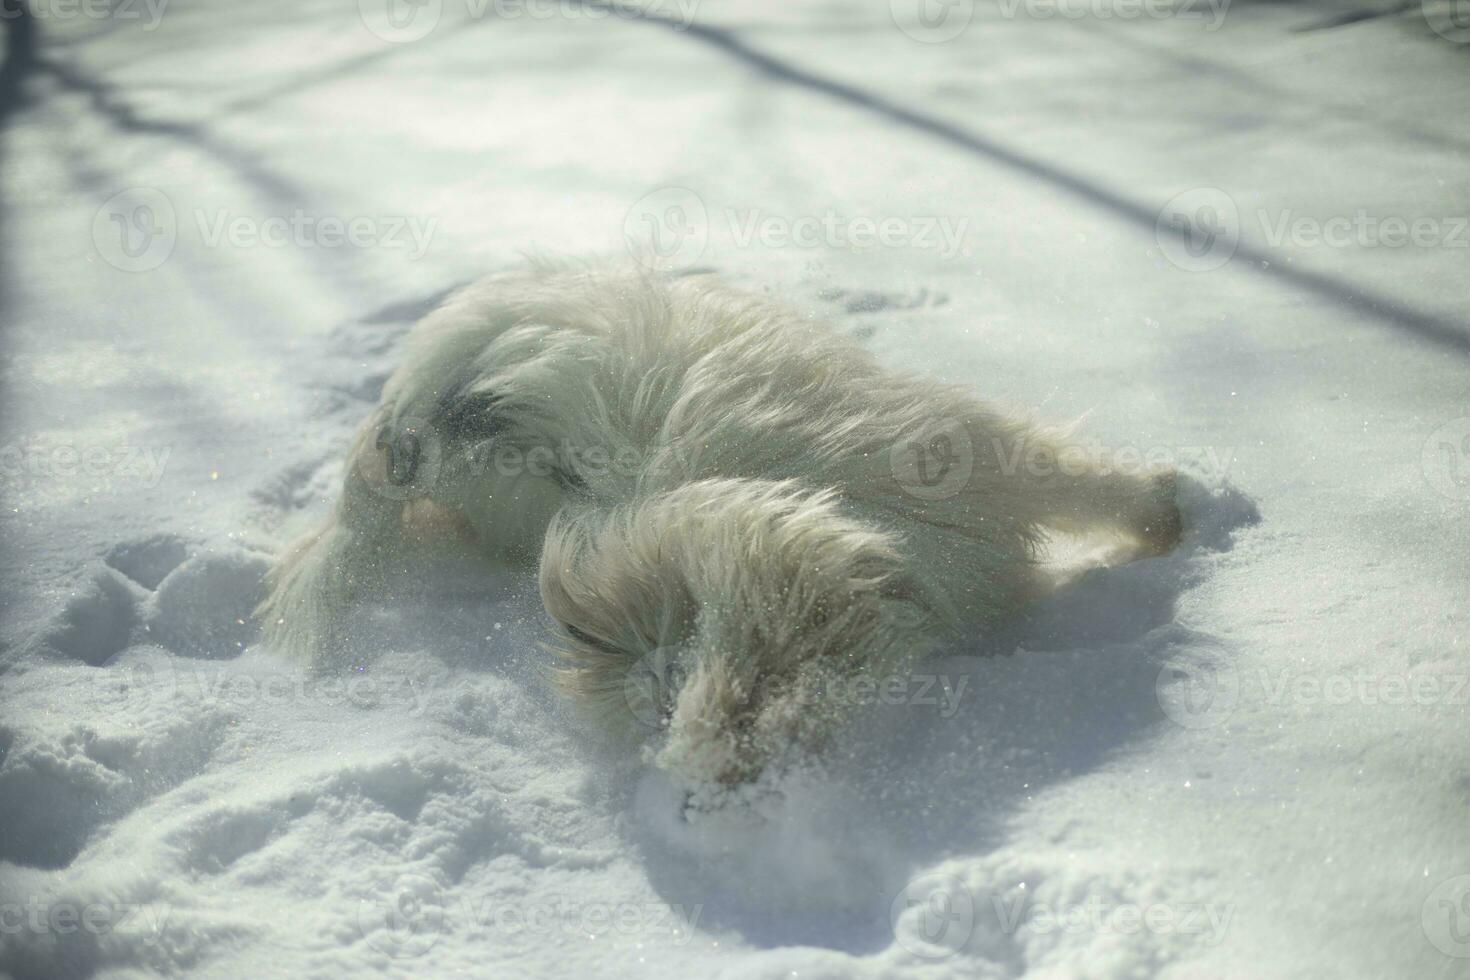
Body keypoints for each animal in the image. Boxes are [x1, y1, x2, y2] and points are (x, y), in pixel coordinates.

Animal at [261, 264, 1181, 793]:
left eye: (692, 678)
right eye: (665, 706)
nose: (700, 774)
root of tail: (399, 421)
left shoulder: (965, 462)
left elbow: (1085, 484)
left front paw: (1171, 513)